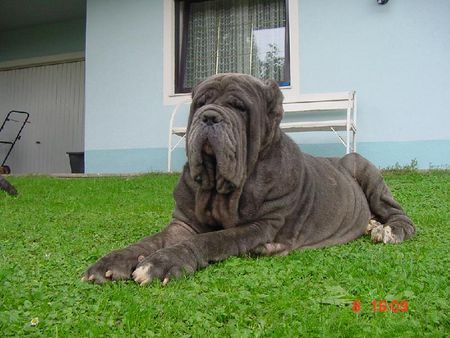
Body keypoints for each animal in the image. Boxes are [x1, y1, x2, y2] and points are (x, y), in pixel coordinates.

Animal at [83, 73, 414, 286]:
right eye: (199, 103)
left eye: (239, 107)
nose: (209, 116)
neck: (221, 188)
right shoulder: (183, 222)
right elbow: (149, 241)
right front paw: (111, 262)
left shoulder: (261, 224)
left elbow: (210, 240)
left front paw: (162, 262)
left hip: (362, 167)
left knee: (400, 215)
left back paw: (388, 230)